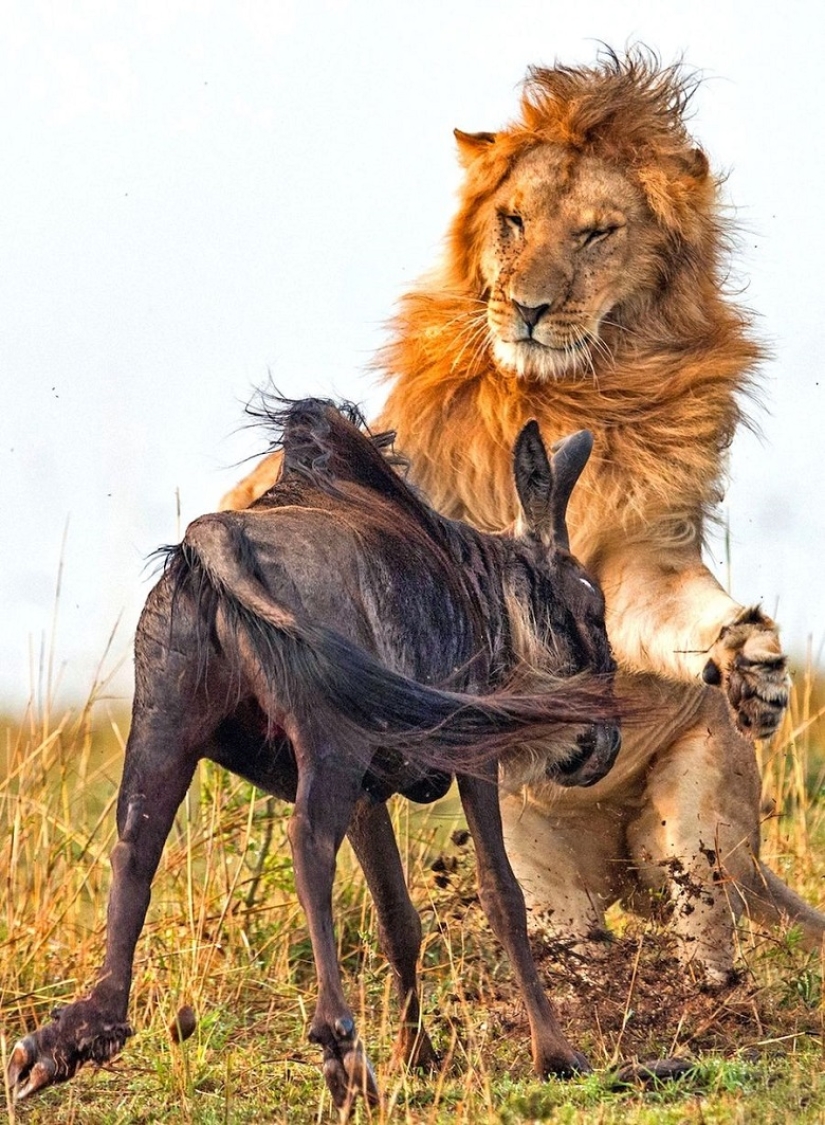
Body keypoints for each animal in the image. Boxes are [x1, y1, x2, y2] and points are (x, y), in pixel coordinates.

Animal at [222, 50, 825, 986]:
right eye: (512, 222)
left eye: (595, 234)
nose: (530, 309)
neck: (570, 387)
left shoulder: (639, 555)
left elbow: (671, 610)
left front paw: (751, 661)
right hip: (543, 867)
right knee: (571, 937)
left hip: (700, 825)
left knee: (702, 919)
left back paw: (704, 995)